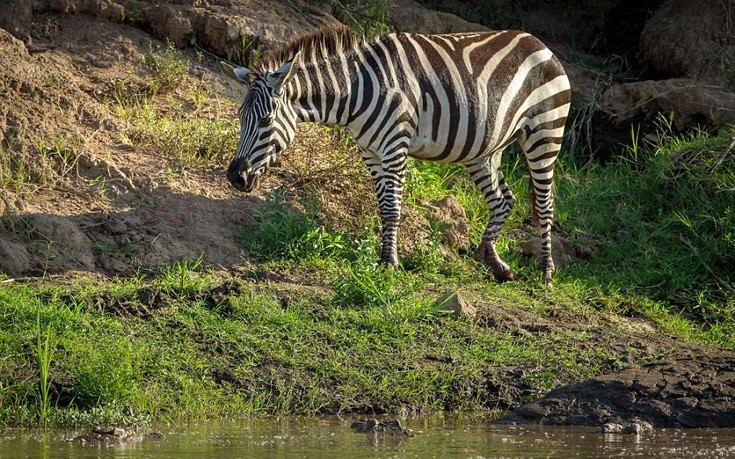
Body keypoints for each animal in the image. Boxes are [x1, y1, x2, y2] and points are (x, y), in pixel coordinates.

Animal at [227, 25, 572, 286]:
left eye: (265, 120)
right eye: (241, 118)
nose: (235, 177)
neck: (356, 90)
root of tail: (539, 44)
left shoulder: (395, 146)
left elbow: (393, 209)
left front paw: (390, 263)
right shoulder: (370, 152)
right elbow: (383, 207)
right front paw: (383, 257)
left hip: (545, 133)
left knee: (545, 206)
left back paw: (546, 273)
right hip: (486, 148)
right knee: (503, 200)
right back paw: (494, 262)